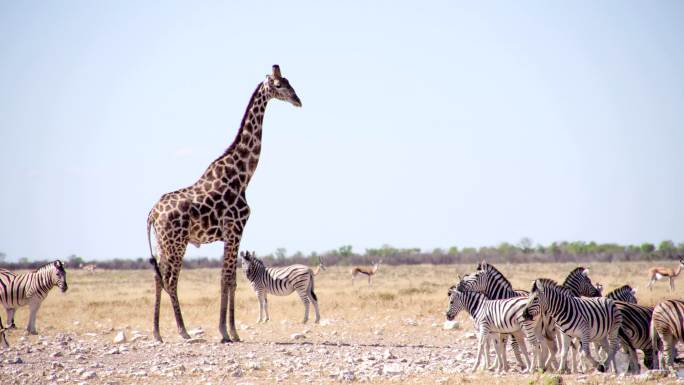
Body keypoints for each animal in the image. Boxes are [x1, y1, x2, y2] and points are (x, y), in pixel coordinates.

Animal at [147, 64, 302, 340]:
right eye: (279, 85)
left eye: (288, 81)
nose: (298, 100)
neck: (242, 176)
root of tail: (152, 213)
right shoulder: (234, 229)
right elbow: (226, 278)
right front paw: (227, 332)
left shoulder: (234, 233)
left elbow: (232, 279)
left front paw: (231, 331)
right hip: (177, 242)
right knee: (171, 280)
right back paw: (183, 331)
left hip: (163, 242)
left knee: (158, 278)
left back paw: (157, 333)